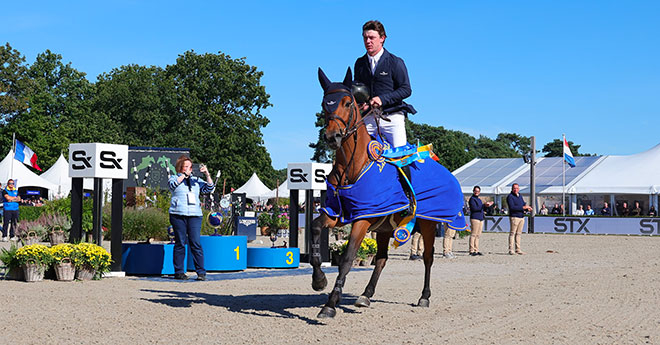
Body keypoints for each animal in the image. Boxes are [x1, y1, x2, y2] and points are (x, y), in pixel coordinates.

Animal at [312, 67, 466, 318]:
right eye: (325, 104)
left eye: (347, 102)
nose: (332, 137)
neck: (352, 167)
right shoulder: (338, 214)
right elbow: (315, 228)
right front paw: (318, 280)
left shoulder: (362, 219)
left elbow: (347, 258)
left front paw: (330, 304)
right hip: (384, 228)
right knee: (382, 259)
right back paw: (365, 295)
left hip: (428, 224)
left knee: (428, 257)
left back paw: (424, 297)